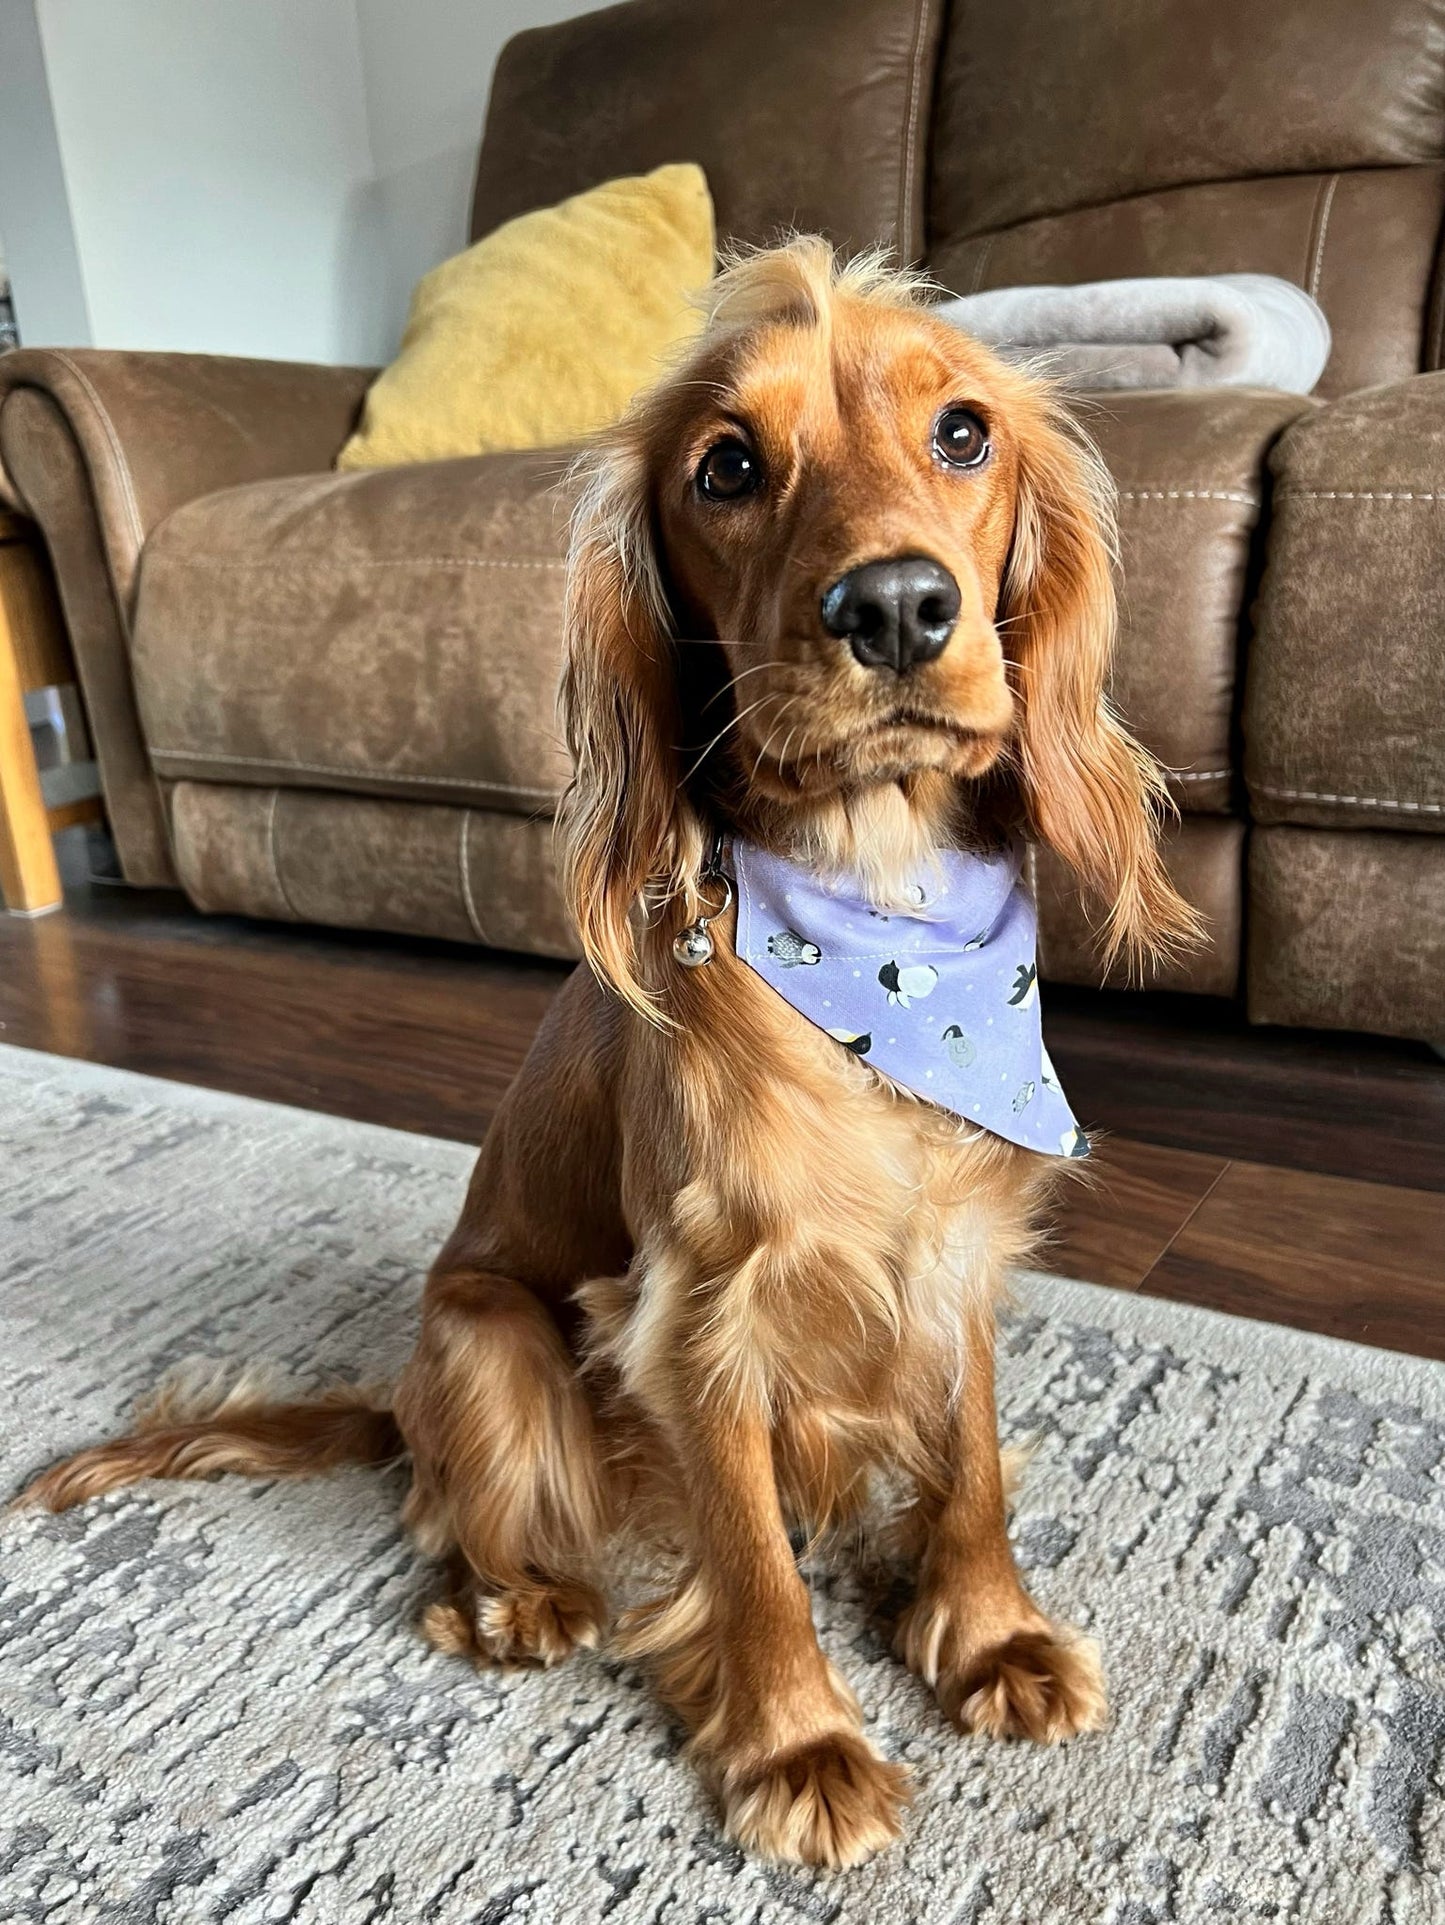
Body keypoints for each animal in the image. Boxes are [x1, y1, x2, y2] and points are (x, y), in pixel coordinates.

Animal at [16, 236, 1200, 1863]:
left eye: (963, 432)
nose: (896, 608)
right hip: (488, 1335)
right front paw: (797, 1740)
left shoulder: (954, 1248)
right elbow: (750, 1557)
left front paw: (988, 1632)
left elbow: (969, 1469)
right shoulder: (698, 1310)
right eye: (728, 466)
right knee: (464, 1528)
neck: (884, 923)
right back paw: (520, 1600)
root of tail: (397, 1400)